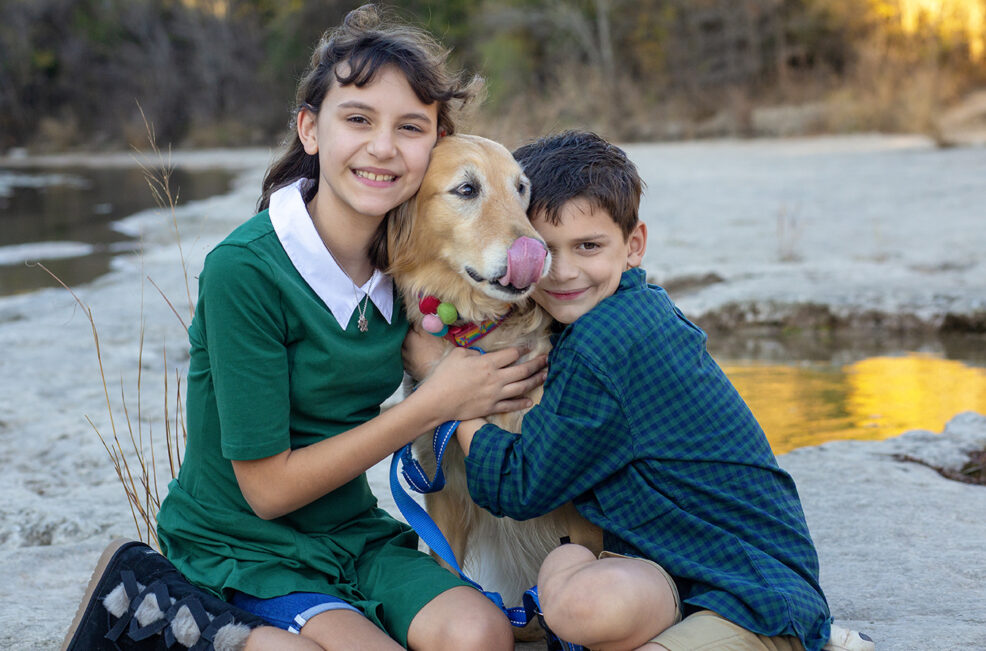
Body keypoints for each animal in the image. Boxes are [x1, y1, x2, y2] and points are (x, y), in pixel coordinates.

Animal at [384, 134, 600, 640]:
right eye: (467, 189)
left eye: (521, 188)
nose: (538, 251)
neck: (482, 335)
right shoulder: (443, 486)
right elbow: (447, 570)